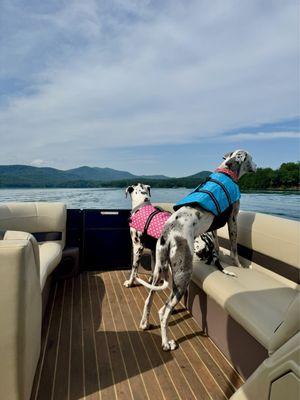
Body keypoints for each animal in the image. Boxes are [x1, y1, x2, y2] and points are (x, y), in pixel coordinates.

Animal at [136, 150, 255, 350]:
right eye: (251, 158)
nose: (257, 166)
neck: (227, 171)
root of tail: (168, 235)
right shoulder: (232, 218)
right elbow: (234, 248)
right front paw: (238, 265)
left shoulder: (214, 227)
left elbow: (216, 243)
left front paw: (218, 257)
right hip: (182, 276)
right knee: (164, 312)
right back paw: (166, 343)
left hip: (158, 269)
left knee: (149, 299)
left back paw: (144, 323)